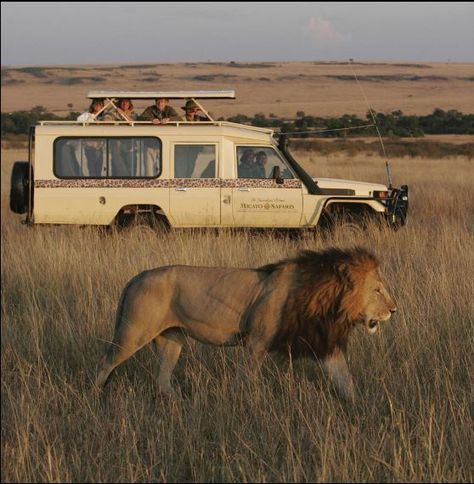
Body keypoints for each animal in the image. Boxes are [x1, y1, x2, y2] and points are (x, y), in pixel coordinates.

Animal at [94, 246, 394, 400]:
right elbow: (246, 379)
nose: (394, 309)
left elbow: (345, 379)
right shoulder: (257, 342)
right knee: (105, 362)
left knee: (162, 379)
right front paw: (247, 405)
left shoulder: (324, 344)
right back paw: (95, 397)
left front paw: (361, 408)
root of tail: (136, 277)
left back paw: (182, 404)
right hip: (133, 332)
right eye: (378, 290)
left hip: (171, 340)